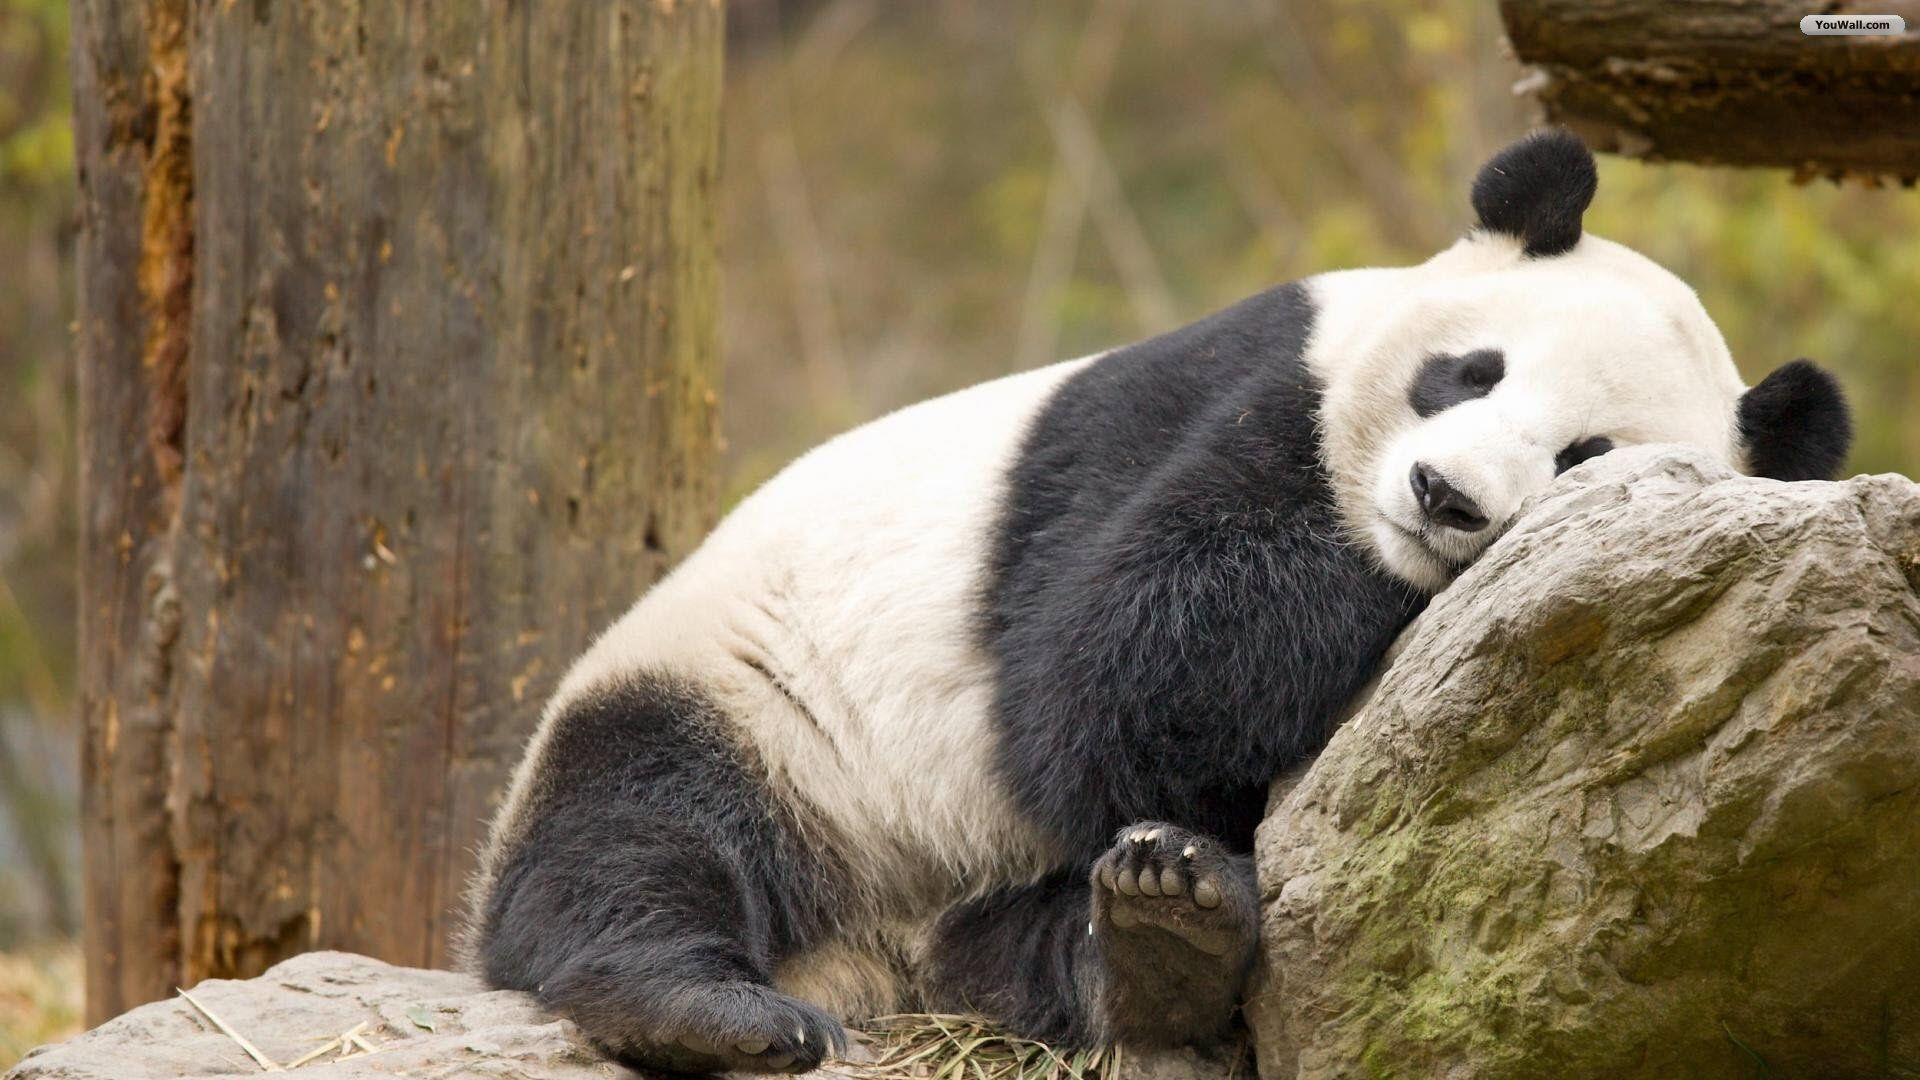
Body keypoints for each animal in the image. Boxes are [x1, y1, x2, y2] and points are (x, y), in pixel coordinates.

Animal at [464, 130, 1852, 1073]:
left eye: (1584, 456)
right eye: (1470, 372)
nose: (1445, 498)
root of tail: (876, 961)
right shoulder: (1225, 393)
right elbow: (1108, 668)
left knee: (1035, 939)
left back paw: (1159, 939)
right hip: (752, 695)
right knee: (636, 828)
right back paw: (711, 1010)